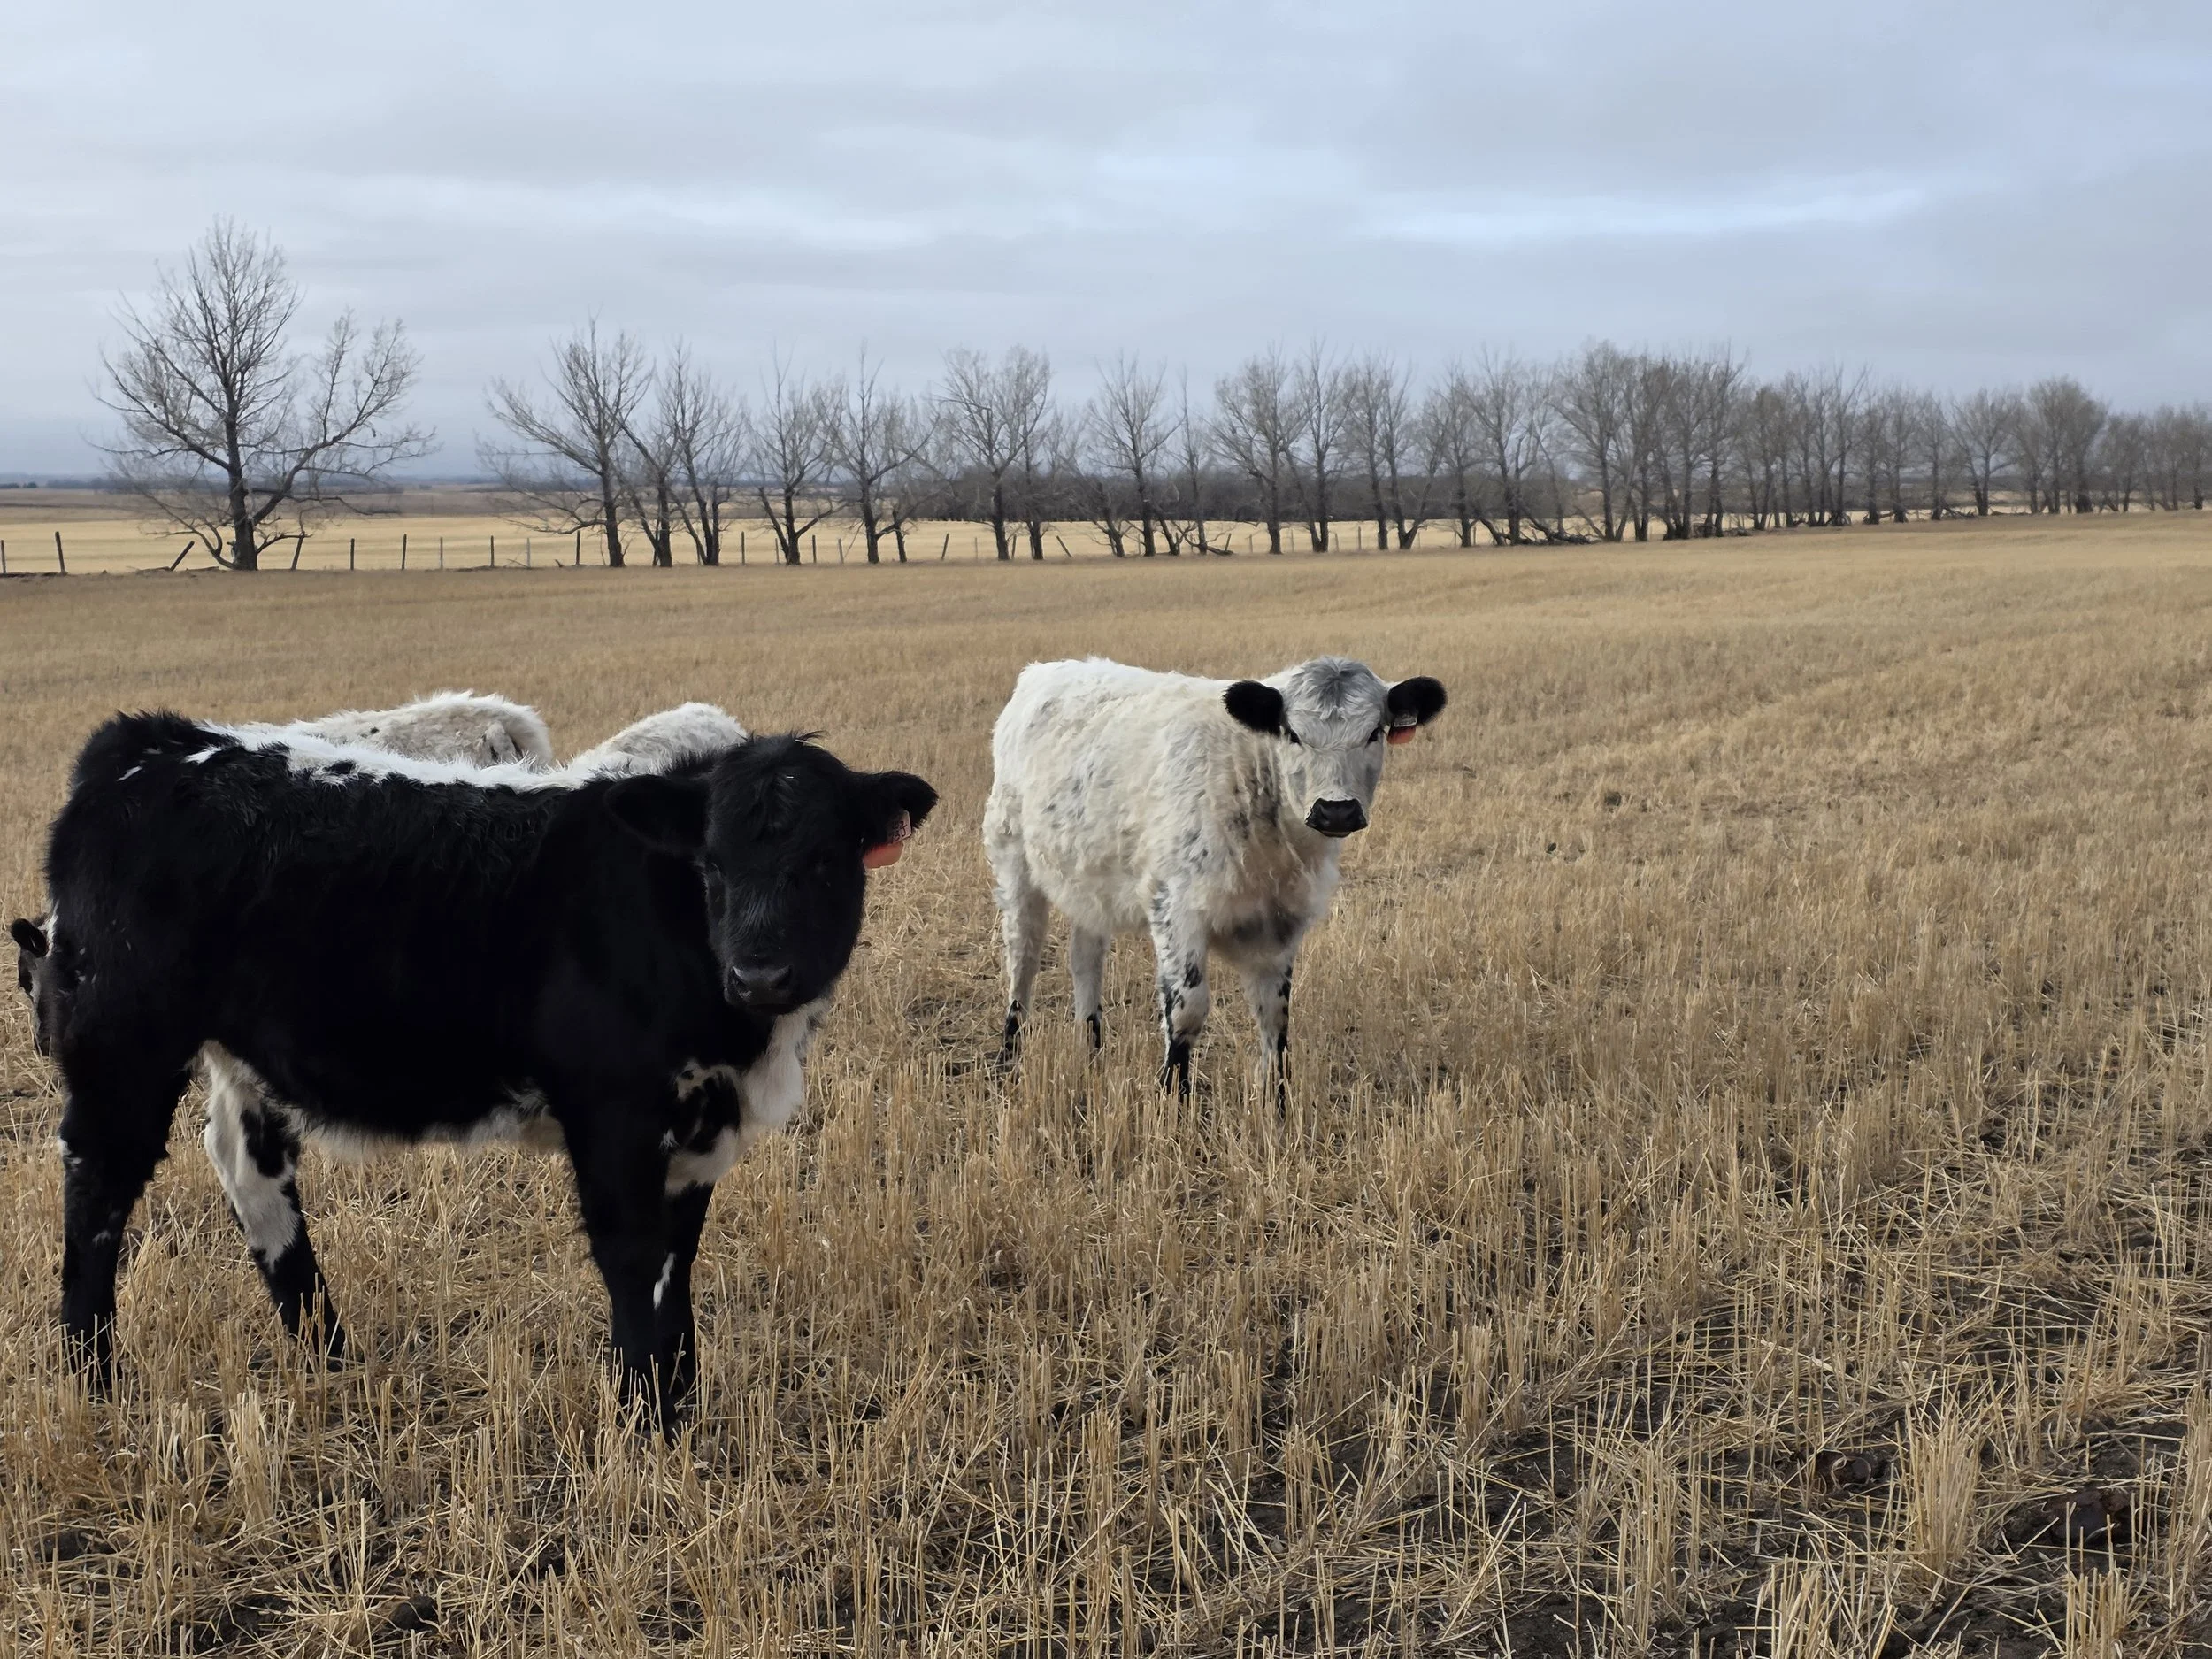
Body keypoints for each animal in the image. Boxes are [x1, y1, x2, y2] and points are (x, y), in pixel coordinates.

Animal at [36, 710, 933, 1423]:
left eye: (827, 861)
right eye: (712, 862)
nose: (760, 973)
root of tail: (152, 742)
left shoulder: (698, 1123)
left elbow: (678, 1262)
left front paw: (681, 1397)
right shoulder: (613, 1115)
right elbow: (634, 1257)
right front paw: (646, 1422)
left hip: (238, 1061)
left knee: (251, 1173)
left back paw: (329, 1358)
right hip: (123, 1043)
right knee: (99, 1185)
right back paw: (91, 1378)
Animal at [985, 656, 1445, 1100]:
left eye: (1374, 732)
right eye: (1293, 734)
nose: (1336, 811)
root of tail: (1044, 671)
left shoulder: (1279, 921)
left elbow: (1275, 1017)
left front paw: (1277, 1104)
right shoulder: (1175, 908)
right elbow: (1187, 1010)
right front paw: (1172, 1100)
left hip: (1090, 885)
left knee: (1085, 960)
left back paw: (1091, 1051)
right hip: (1014, 863)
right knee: (1023, 957)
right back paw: (1010, 1053)